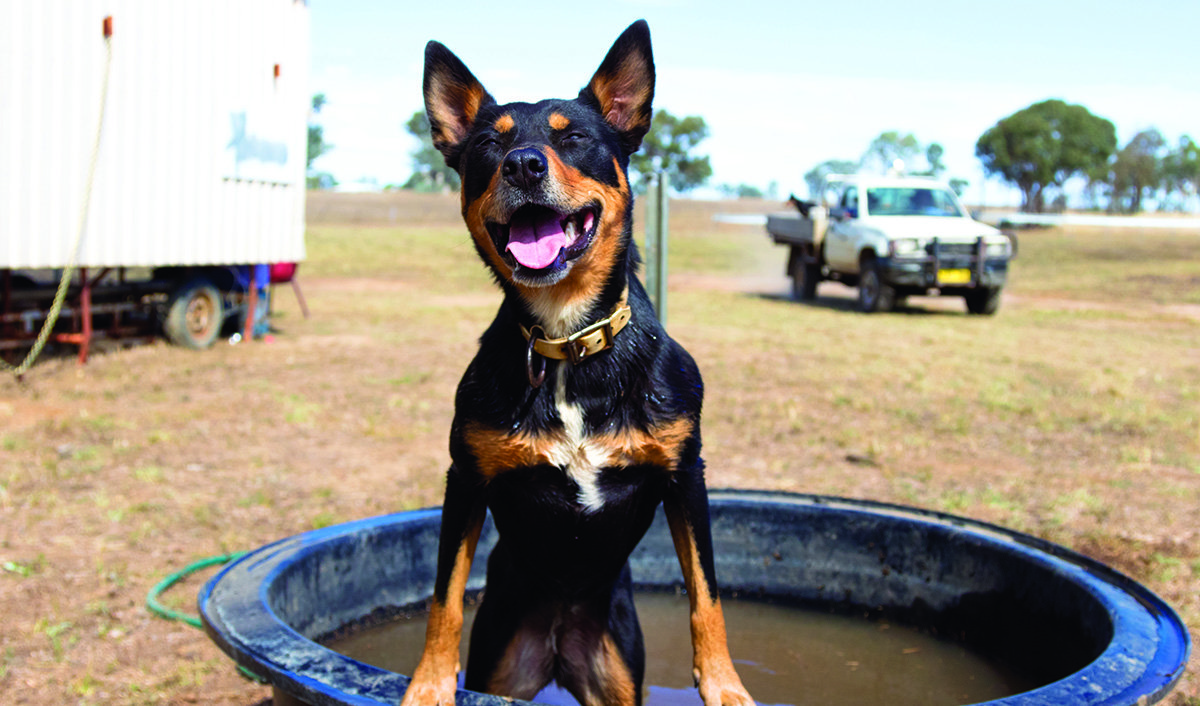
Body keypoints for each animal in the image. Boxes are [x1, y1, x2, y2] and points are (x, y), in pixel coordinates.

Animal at [403, 22, 753, 706]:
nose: (523, 164)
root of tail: (560, 643)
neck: (568, 343)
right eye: (488, 144)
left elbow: (708, 595)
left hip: (615, 669)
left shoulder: (686, 475)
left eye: (574, 138)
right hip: (506, 660)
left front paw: (725, 685)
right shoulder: (466, 477)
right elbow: (442, 596)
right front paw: (428, 684)